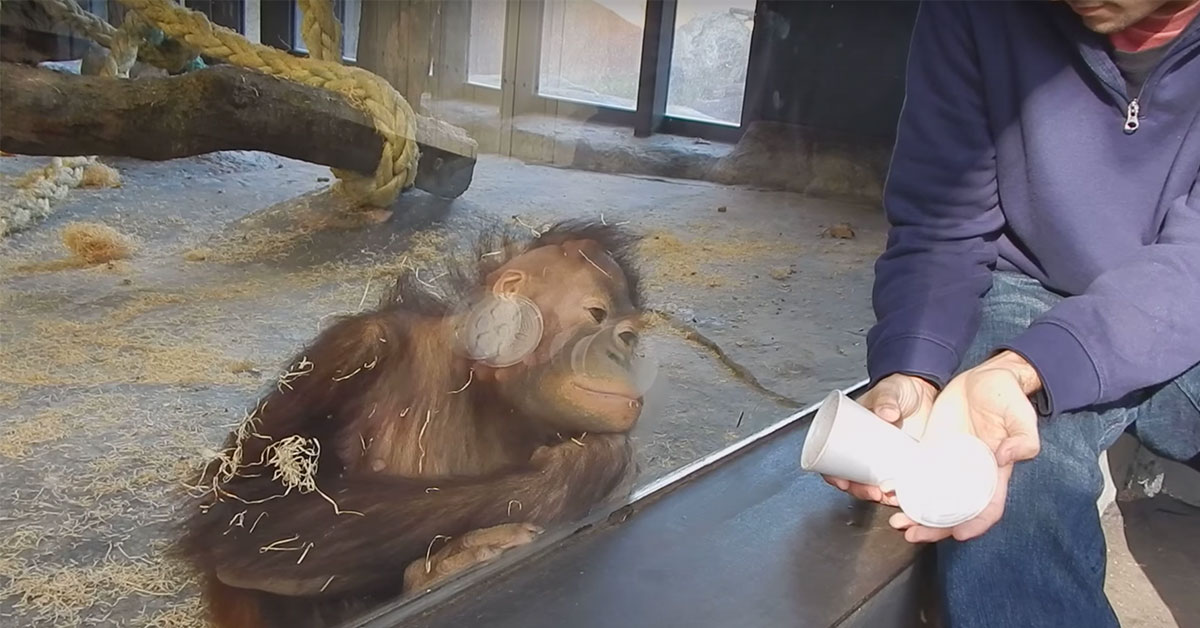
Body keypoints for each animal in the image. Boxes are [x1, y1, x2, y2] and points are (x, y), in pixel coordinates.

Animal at [170, 219, 655, 627]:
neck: (476, 381)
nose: (624, 349)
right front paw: (583, 466)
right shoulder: (352, 350)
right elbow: (245, 513)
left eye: (630, 335)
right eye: (596, 315)